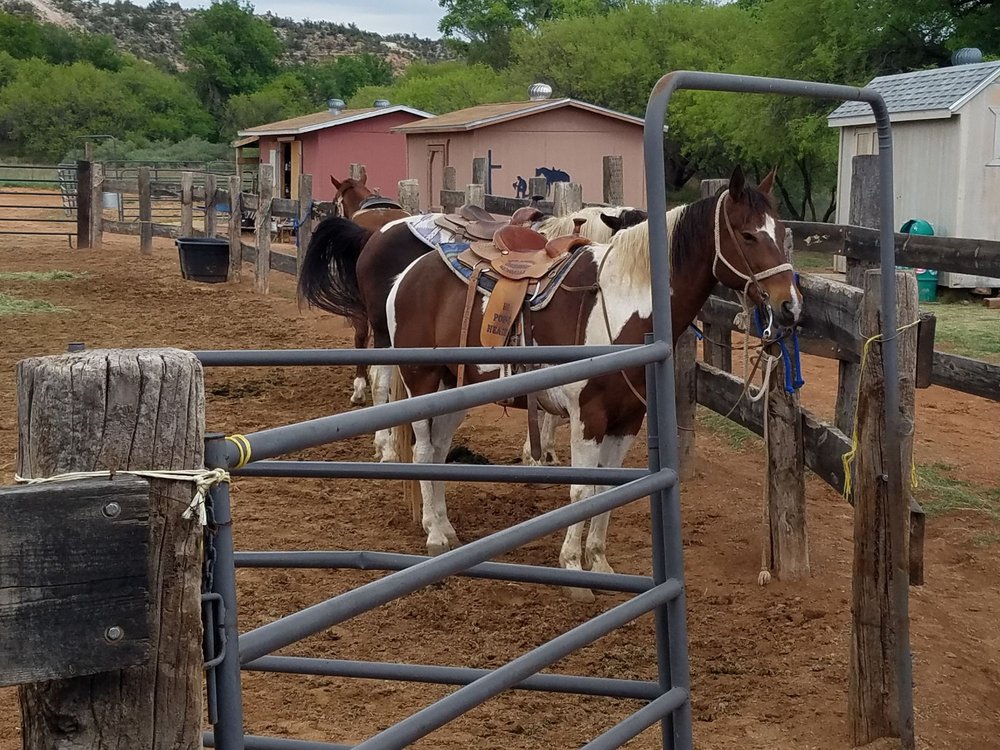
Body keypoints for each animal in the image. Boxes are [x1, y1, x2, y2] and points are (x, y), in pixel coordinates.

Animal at [298, 205, 648, 461]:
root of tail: (373, 234)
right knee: (380, 378)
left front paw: (544, 450)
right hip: (385, 332)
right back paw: (384, 445)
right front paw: (536, 453)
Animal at [384, 166, 802, 601]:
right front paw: (573, 570)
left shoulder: (627, 421)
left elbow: (607, 490)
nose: (790, 306)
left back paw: (446, 529)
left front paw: (599, 563)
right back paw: (434, 537)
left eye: (780, 230)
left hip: (454, 390)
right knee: (422, 453)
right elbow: (582, 491)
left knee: (438, 452)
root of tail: (407, 276)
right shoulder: (588, 418)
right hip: (422, 382)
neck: (621, 306)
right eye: (748, 235)